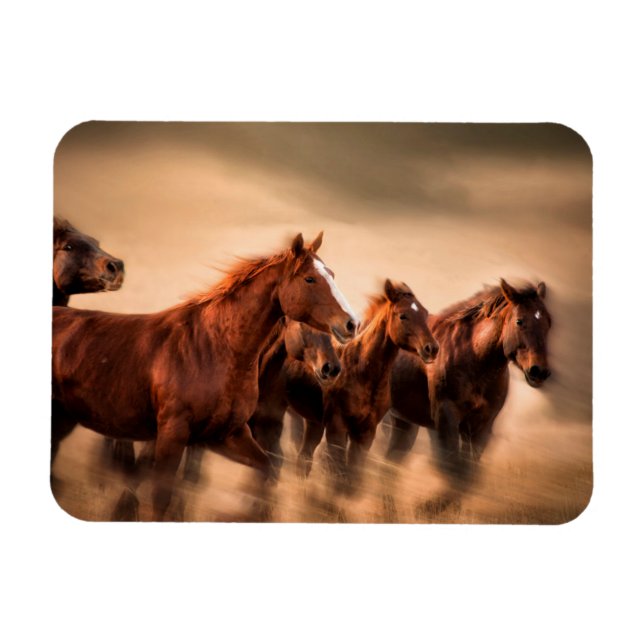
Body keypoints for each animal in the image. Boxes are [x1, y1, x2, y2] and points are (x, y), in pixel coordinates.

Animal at [52, 232, 358, 520]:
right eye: (310, 279)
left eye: (331, 274)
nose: (352, 323)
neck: (212, 348)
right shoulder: (173, 436)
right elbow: (161, 496)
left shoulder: (226, 435)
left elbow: (265, 472)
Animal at [293, 279, 439, 493]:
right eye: (403, 315)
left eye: (425, 313)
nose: (432, 348)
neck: (363, 374)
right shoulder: (337, 426)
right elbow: (338, 471)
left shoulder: (366, 432)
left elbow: (353, 474)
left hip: (314, 423)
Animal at [385, 279, 552, 499]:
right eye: (519, 321)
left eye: (548, 323)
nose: (539, 371)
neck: (474, 358)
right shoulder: (447, 419)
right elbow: (454, 471)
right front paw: (425, 505)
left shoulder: (481, 427)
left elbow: (468, 477)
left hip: (404, 424)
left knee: (389, 464)